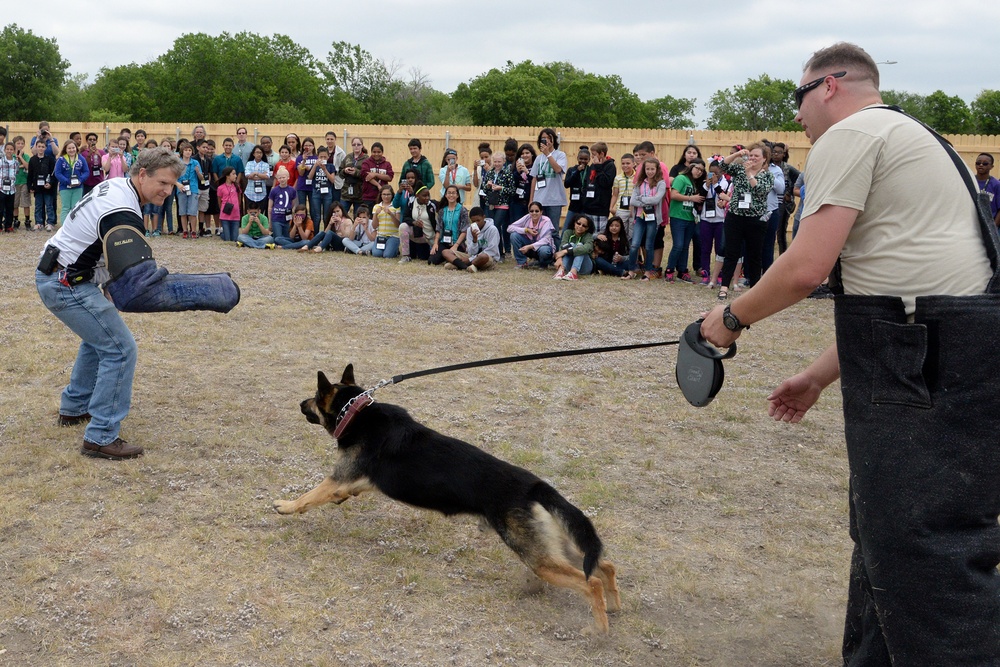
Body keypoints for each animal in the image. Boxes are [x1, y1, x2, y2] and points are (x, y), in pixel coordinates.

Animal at [270, 368, 620, 636]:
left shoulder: (336, 479)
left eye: (314, 397)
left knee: (591, 582)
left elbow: (309, 496)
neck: (357, 413)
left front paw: (285, 506)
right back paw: (615, 606)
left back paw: (599, 629)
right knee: (604, 565)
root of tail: (535, 486)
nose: (299, 403)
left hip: (537, 557)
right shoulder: (355, 483)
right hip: (553, 545)